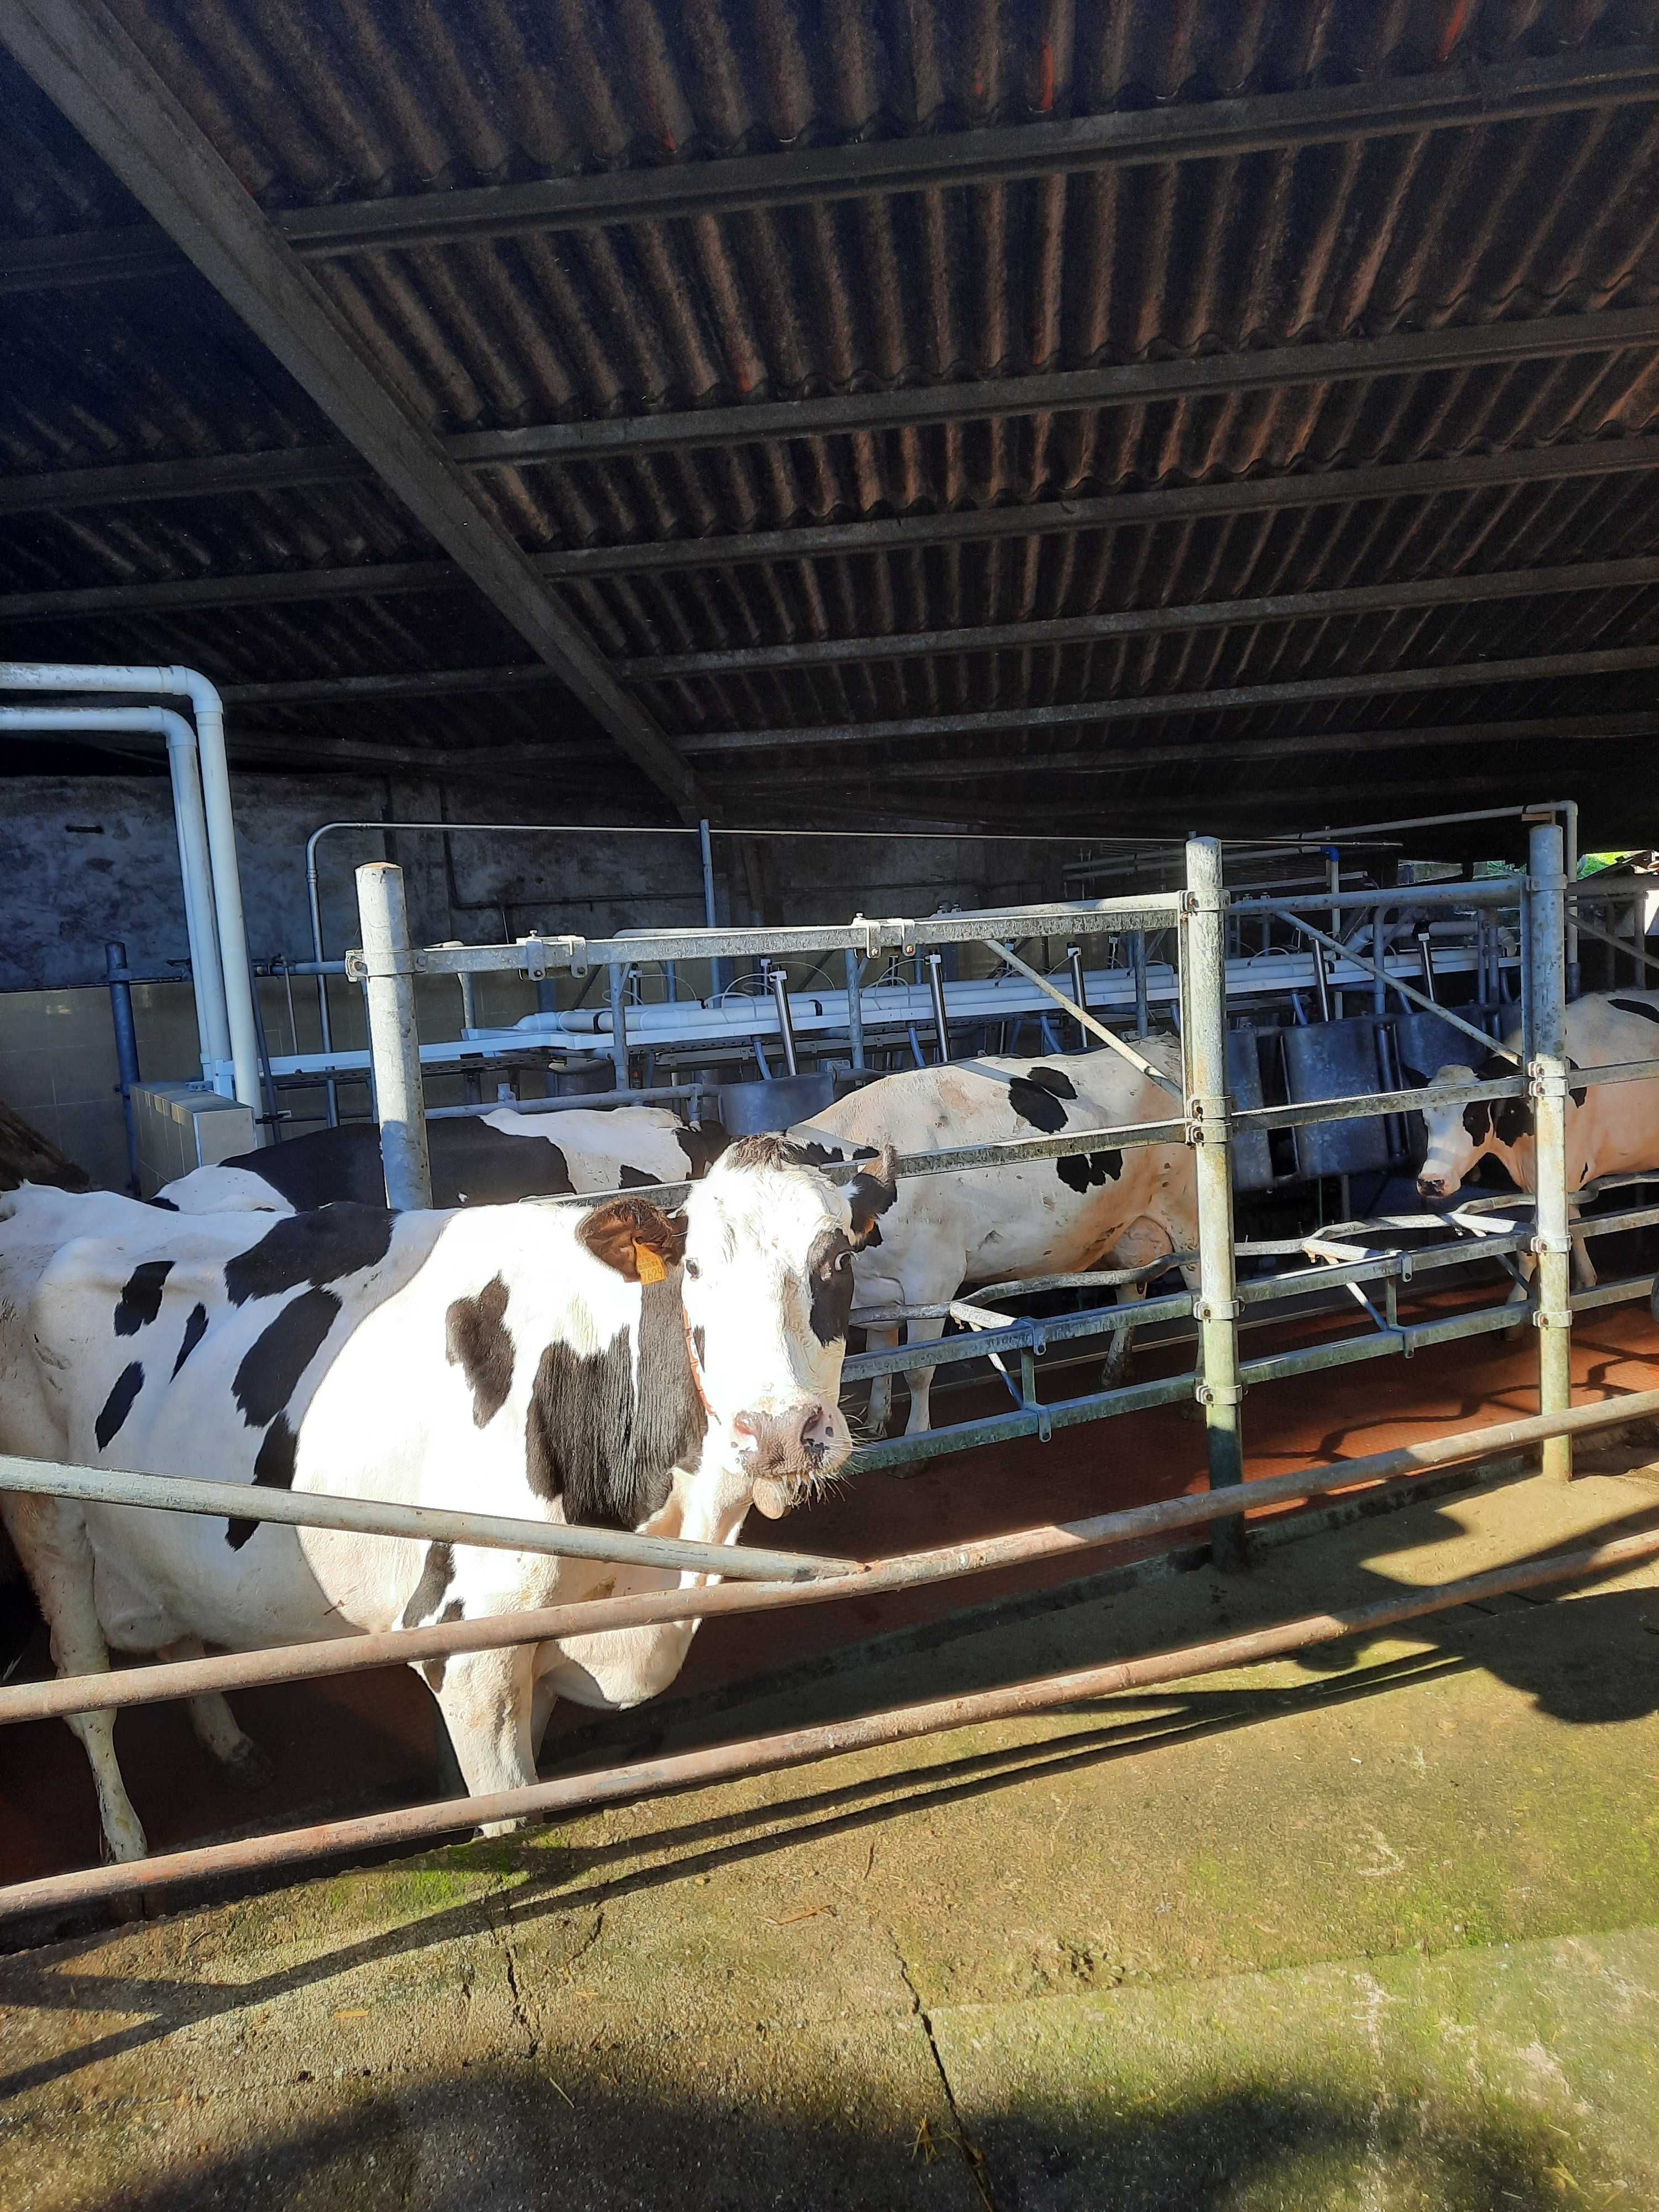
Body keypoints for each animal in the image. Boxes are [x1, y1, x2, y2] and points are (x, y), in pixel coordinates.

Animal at [0, 1141, 898, 1867]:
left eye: (834, 1263)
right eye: (698, 1271)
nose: (779, 1430)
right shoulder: (467, 1641)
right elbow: (508, 1816)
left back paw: (229, 1744)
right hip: (49, 1522)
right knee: (84, 1688)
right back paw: (125, 1850)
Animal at [792, 1048, 1194, 1433]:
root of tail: (1165, 1045)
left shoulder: (932, 1279)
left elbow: (918, 1368)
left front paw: (917, 1435)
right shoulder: (875, 1290)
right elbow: (882, 1354)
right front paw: (877, 1420)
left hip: (1185, 1219)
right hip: (1129, 1229)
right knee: (1132, 1292)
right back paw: (1112, 1373)